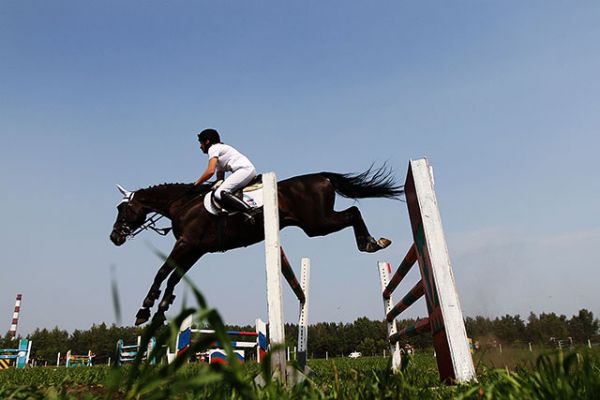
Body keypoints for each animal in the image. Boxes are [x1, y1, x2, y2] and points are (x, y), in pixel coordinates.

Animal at [110, 166, 406, 324]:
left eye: (121, 209)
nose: (114, 237)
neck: (181, 205)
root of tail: (322, 177)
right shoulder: (196, 249)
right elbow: (174, 277)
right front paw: (160, 311)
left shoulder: (187, 244)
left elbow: (162, 272)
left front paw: (145, 309)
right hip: (317, 224)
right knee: (353, 212)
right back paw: (373, 242)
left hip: (317, 224)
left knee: (353, 212)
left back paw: (370, 243)